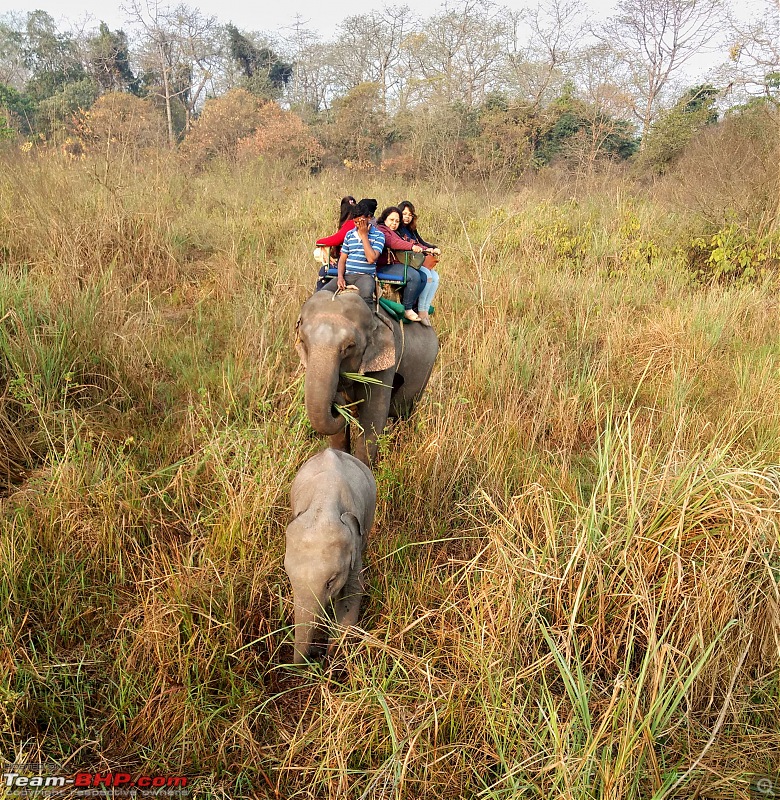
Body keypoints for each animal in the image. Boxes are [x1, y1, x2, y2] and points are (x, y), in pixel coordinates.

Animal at [284, 450, 376, 664]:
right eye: (290, 580)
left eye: (330, 582)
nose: (315, 654)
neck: (323, 505)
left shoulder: (355, 544)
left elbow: (353, 591)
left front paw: (335, 656)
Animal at [296, 286, 438, 462]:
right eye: (303, 341)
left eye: (350, 346)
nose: (336, 400)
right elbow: (340, 429)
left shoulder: (385, 362)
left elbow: (373, 418)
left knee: (405, 415)